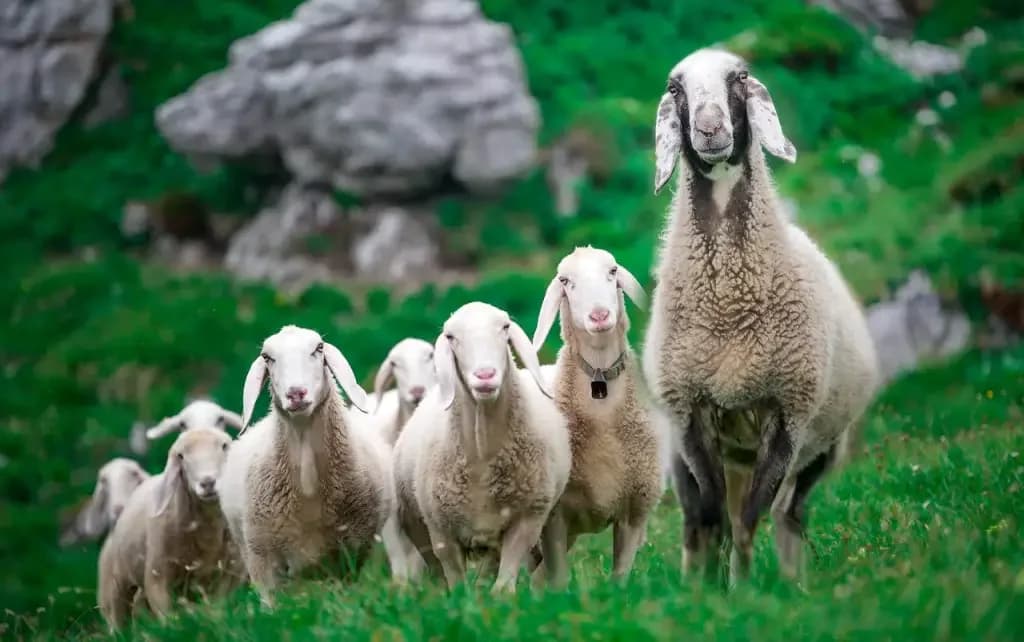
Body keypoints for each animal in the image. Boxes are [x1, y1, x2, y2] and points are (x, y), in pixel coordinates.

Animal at [97, 427, 239, 630]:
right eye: (181, 456)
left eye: (224, 446)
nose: (208, 482)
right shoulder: (157, 575)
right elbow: (170, 619)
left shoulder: (229, 573)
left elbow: (217, 612)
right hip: (116, 588)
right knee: (119, 621)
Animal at [392, 302, 571, 593]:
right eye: (451, 336)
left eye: (505, 327)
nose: (485, 375)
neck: (482, 452)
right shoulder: (441, 531)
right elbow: (456, 582)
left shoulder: (526, 520)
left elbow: (503, 586)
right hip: (417, 524)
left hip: (548, 514)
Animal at [529, 246, 664, 586]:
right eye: (565, 281)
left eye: (613, 271)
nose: (600, 316)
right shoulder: (555, 519)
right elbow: (559, 580)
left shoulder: (634, 512)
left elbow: (620, 578)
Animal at [643, 48, 880, 584]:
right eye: (674, 88)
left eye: (741, 76)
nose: (710, 128)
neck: (728, 305)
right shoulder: (691, 414)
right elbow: (712, 517)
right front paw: (706, 592)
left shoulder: (787, 412)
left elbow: (749, 520)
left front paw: (743, 588)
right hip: (692, 450)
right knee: (698, 518)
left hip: (823, 445)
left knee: (788, 513)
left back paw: (794, 583)